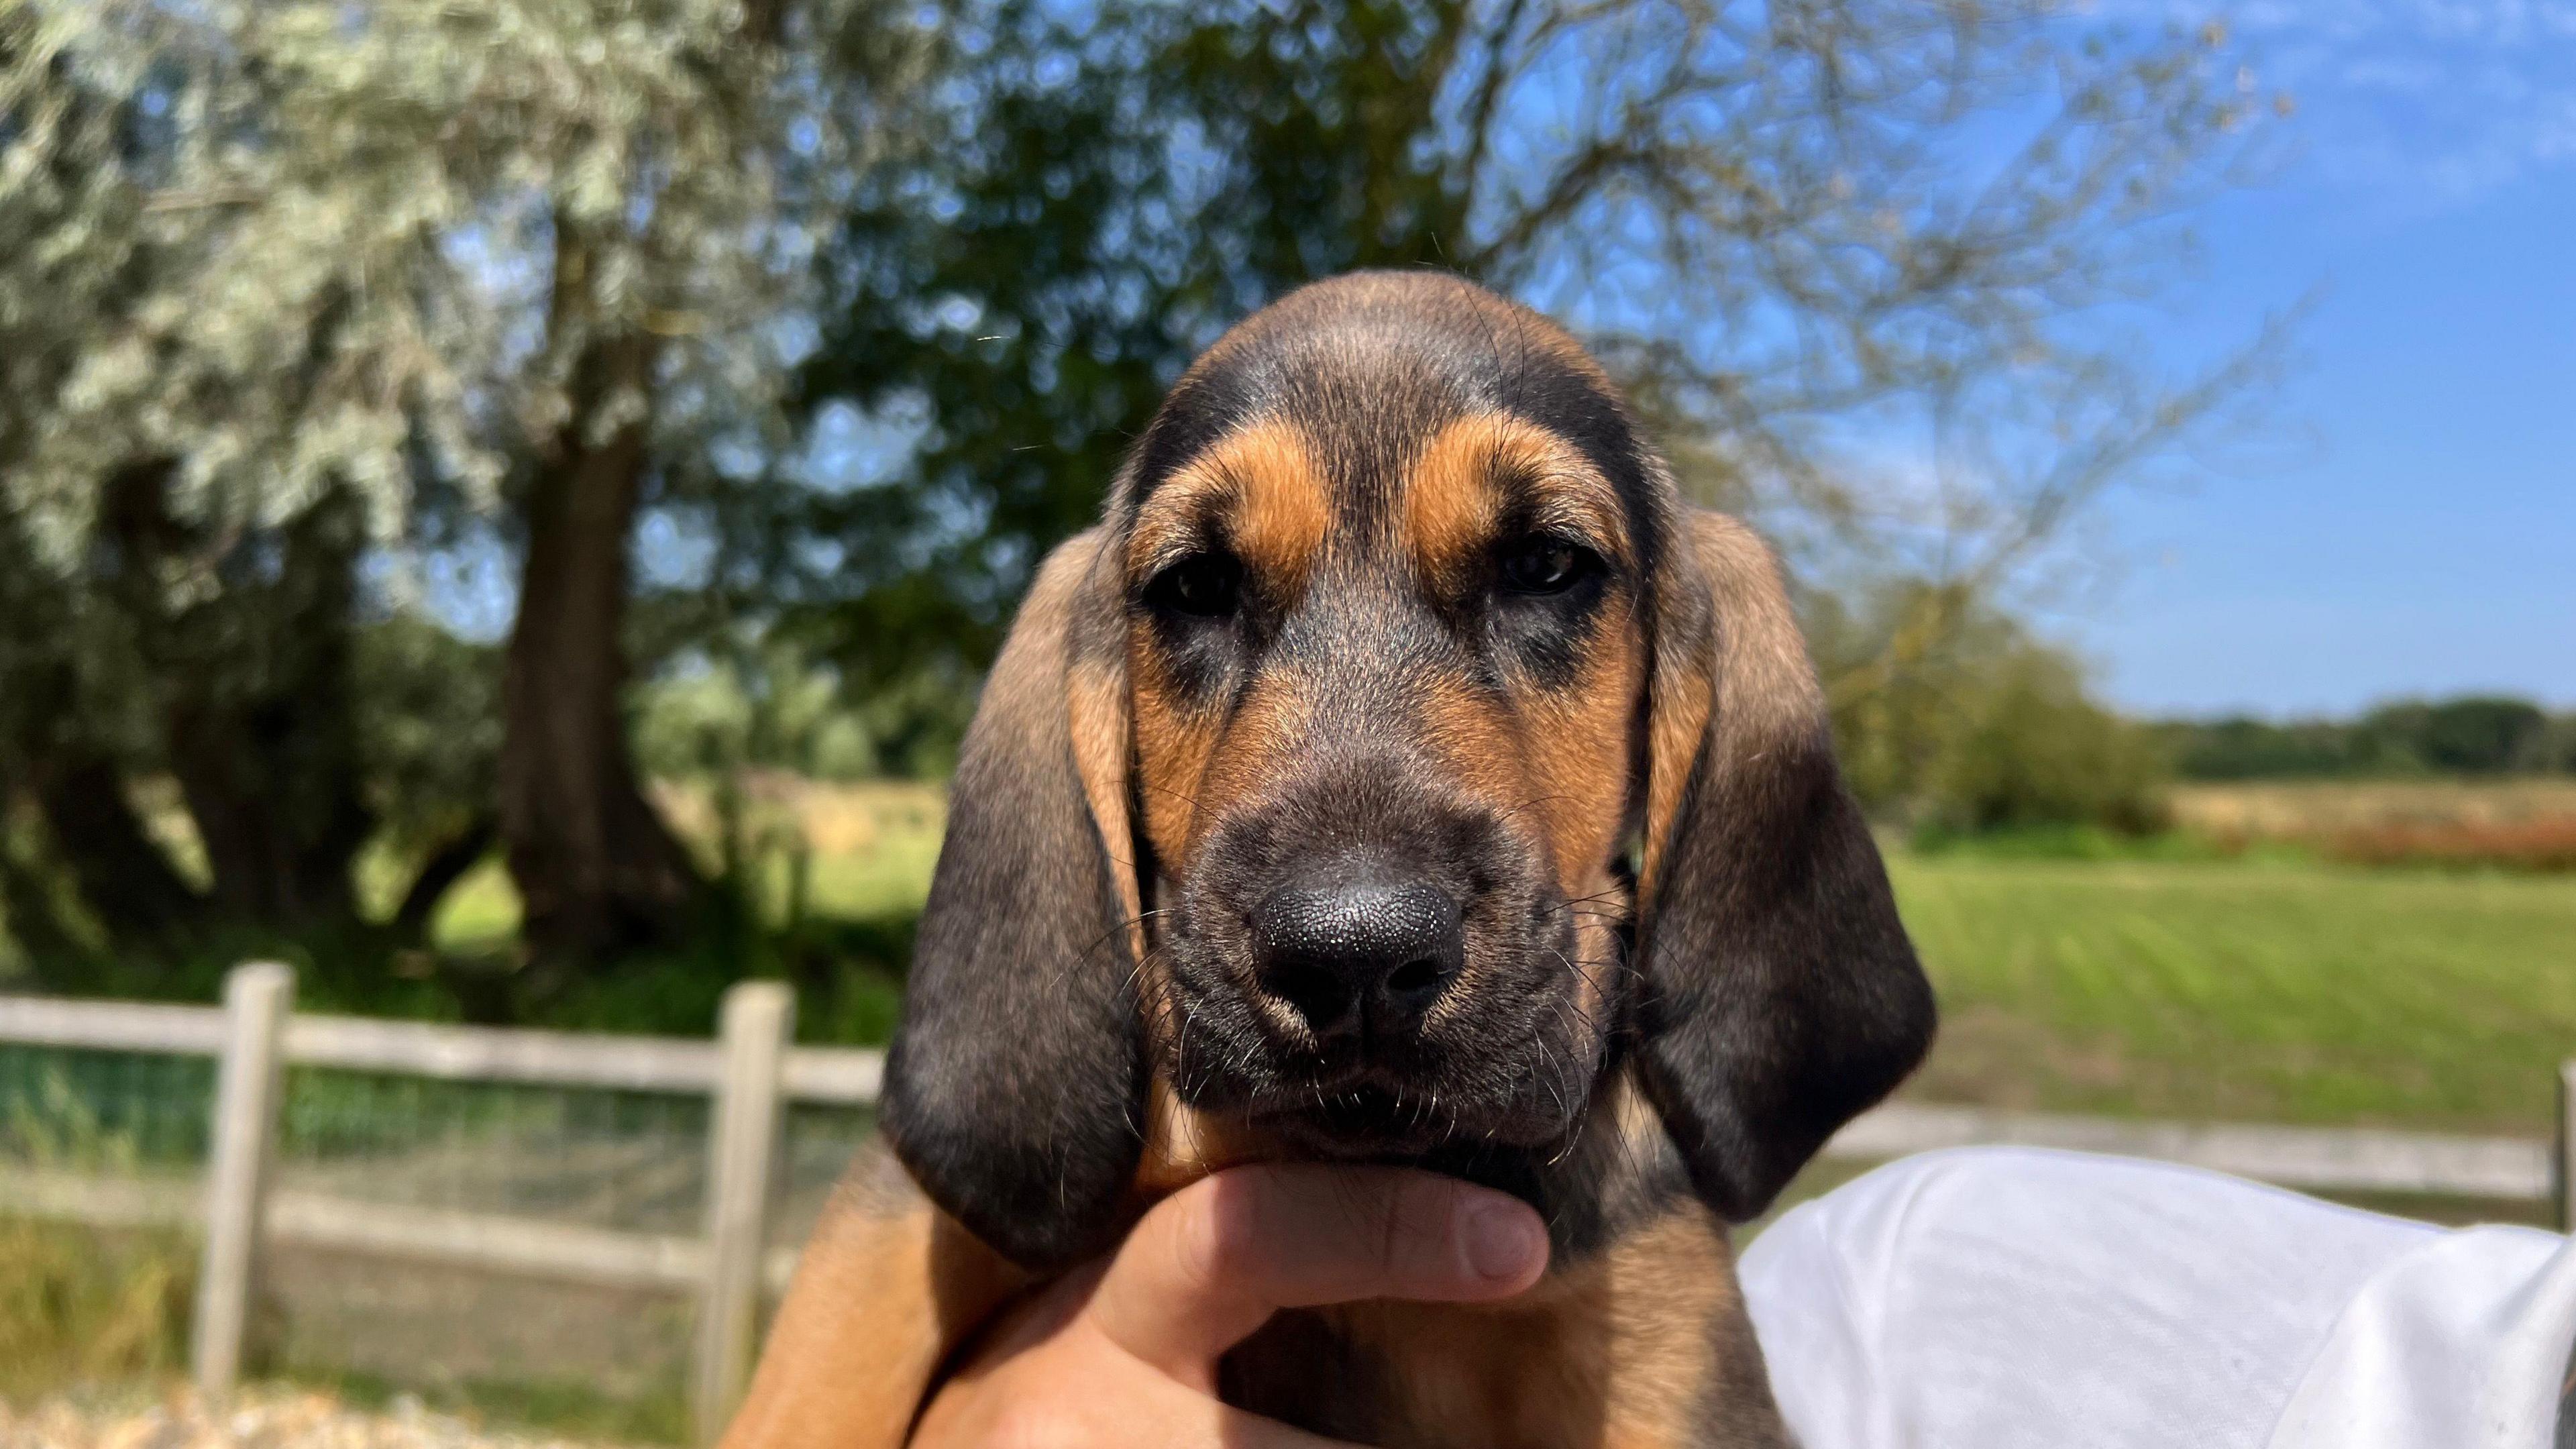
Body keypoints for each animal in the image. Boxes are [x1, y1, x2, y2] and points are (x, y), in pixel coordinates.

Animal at [726, 270, 1937, 1444]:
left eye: (1548, 565)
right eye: (1194, 587)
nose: (1353, 956)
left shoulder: (1668, 1347)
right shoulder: (891, 1233)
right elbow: (820, 1382)